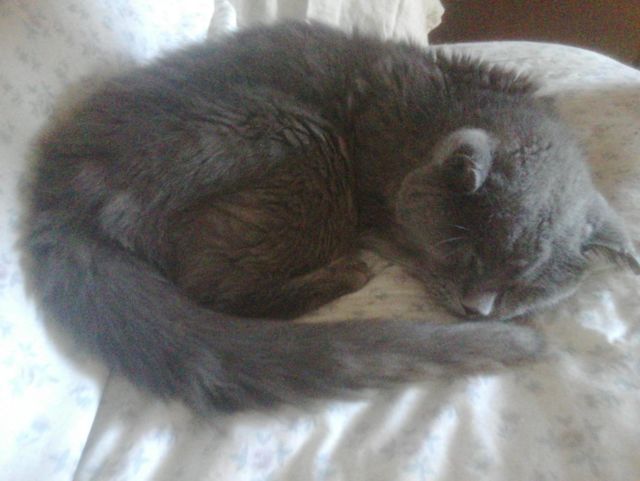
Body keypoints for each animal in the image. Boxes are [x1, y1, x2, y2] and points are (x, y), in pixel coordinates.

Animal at [23, 21, 639, 415]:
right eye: (463, 252)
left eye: (523, 285)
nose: (477, 309)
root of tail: (57, 195)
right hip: (301, 139)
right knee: (210, 283)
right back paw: (347, 270)